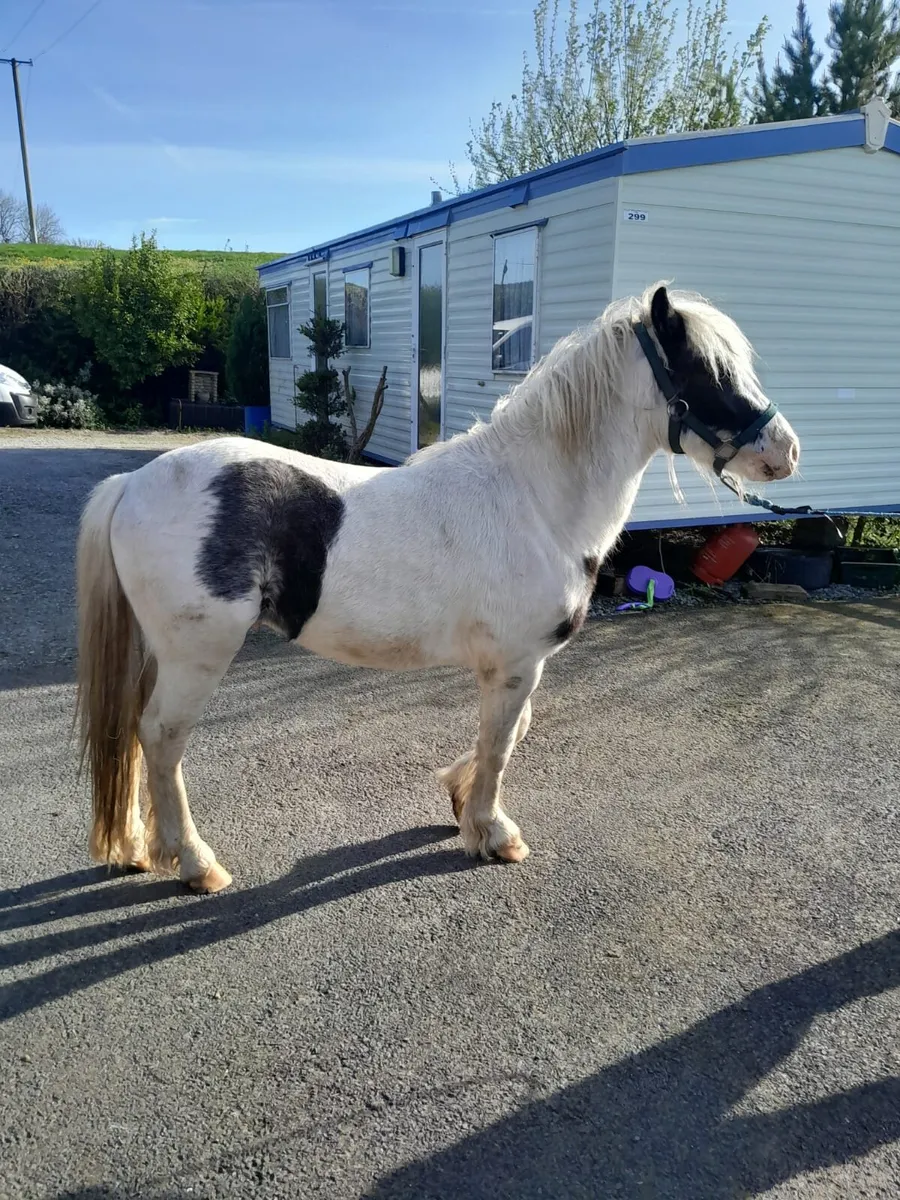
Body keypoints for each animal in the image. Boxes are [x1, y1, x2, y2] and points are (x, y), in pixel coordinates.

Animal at [75, 283, 800, 894]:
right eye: (707, 373)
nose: (786, 452)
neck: (534, 499)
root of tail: (133, 484)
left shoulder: (510, 664)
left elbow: (507, 732)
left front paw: (459, 798)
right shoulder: (518, 662)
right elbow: (503, 742)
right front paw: (493, 832)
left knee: (136, 737)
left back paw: (139, 848)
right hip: (198, 655)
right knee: (162, 737)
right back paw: (195, 864)